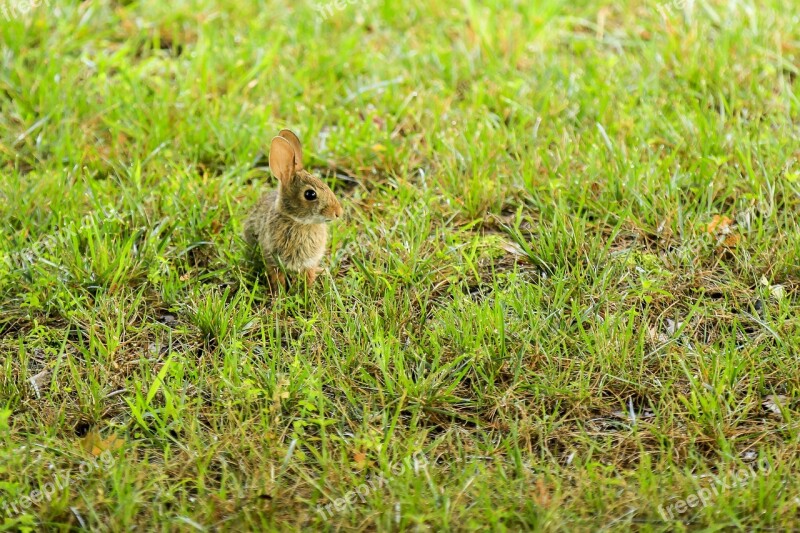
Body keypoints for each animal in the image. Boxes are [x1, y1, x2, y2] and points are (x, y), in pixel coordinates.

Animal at [244, 129, 344, 288]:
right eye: (310, 194)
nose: (338, 213)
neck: (300, 223)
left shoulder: (310, 262)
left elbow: (309, 275)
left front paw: (308, 289)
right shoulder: (272, 258)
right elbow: (276, 276)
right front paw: (278, 292)